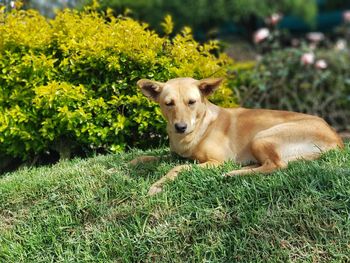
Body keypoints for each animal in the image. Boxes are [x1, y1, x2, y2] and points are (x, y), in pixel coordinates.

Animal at [131, 77, 344, 195]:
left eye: (191, 102)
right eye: (169, 103)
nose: (180, 127)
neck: (200, 127)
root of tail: (337, 139)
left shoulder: (216, 161)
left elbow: (177, 168)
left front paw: (158, 185)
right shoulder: (176, 154)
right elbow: (155, 156)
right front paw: (134, 161)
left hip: (262, 137)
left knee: (276, 165)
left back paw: (233, 173)